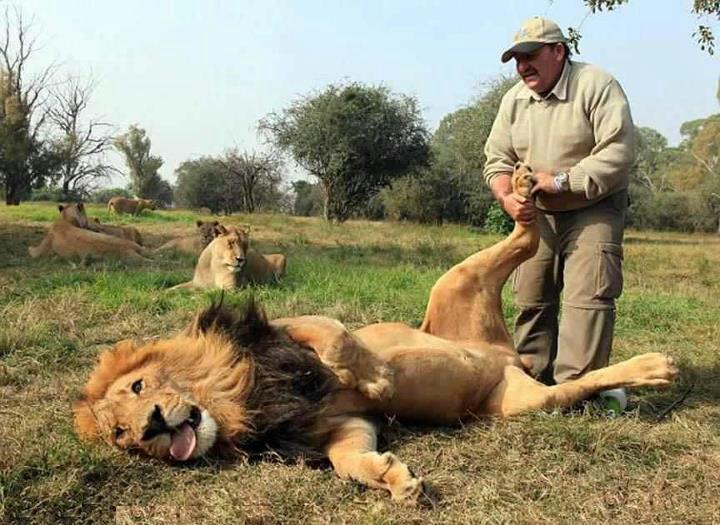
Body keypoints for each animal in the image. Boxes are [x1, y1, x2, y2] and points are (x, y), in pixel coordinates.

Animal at [74, 163, 678, 505]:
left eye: (137, 389)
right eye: (122, 436)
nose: (151, 425)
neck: (238, 401)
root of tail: (506, 355)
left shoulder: (281, 330)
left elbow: (332, 333)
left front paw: (377, 377)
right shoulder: (341, 425)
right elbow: (350, 459)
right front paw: (394, 480)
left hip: (455, 281)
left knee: (526, 235)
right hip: (519, 403)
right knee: (569, 384)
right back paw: (651, 368)